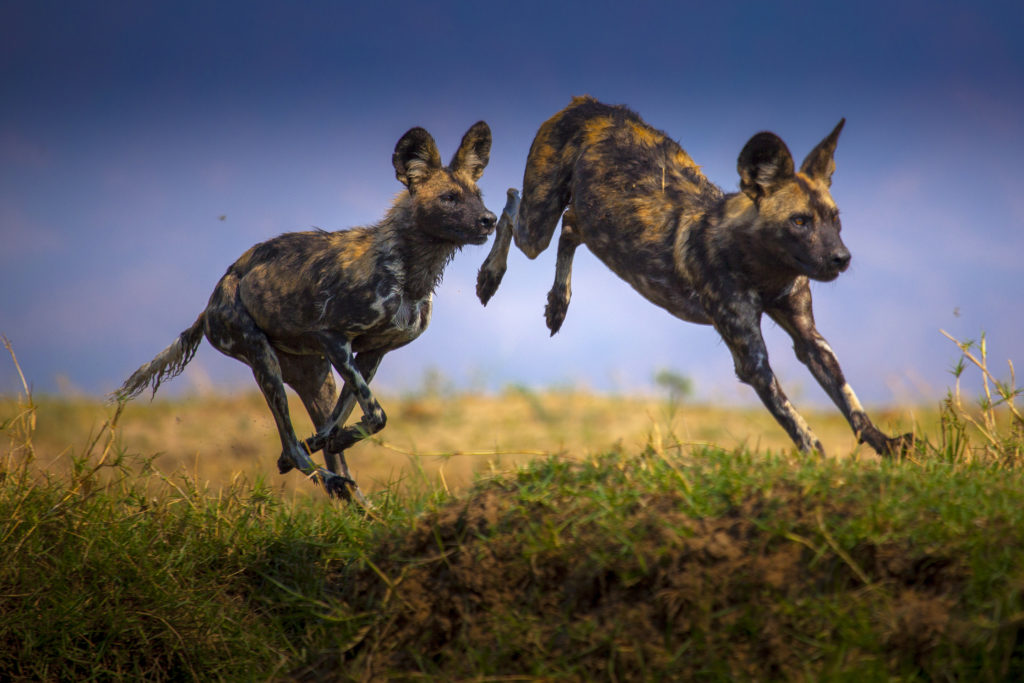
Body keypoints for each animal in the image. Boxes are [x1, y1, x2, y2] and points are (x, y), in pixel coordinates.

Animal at [114, 122, 509, 499]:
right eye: (449, 198)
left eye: (478, 197)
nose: (489, 219)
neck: (410, 275)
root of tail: (212, 299)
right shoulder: (333, 337)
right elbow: (376, 415)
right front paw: (329, 442)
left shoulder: (369, 355)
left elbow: (347, 419)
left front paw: (330, 439)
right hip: (264, 361)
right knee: (291, 443)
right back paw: (327, 478)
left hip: (315, 376)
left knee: (316, 450)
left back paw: (353, 498)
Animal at [475, 96, 917, 456]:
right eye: (799, 221)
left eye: (835, 219)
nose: (842, 258)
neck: (763, 267)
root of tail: (586, 104)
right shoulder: (752, 361)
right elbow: (797, 423)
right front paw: (818, 462)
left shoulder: (810, 339)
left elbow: (850, 403)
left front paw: (884, 444)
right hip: (536, 226)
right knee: (509, 207)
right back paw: (491, 276)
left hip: (587, 221)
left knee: (569, 227)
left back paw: (558, 304)